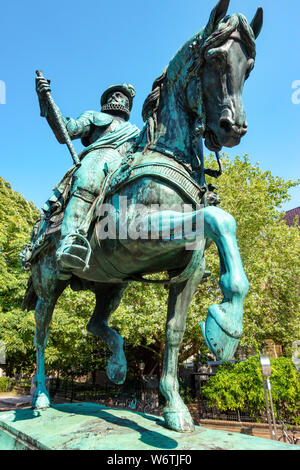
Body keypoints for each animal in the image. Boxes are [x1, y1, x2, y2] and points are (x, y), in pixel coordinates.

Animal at [22, 0, 262, 434]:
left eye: (248, 66)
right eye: (216, 58)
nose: (232, 127)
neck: (168, 152)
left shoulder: (187, 269)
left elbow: (174, 331)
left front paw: (174, 406)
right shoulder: (137, 233)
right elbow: (218, 218)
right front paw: (226, 328)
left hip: (109, 286)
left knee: (95, 324)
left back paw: (117, 367)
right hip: (49, 286)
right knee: (41, 336)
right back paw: (42, 397)